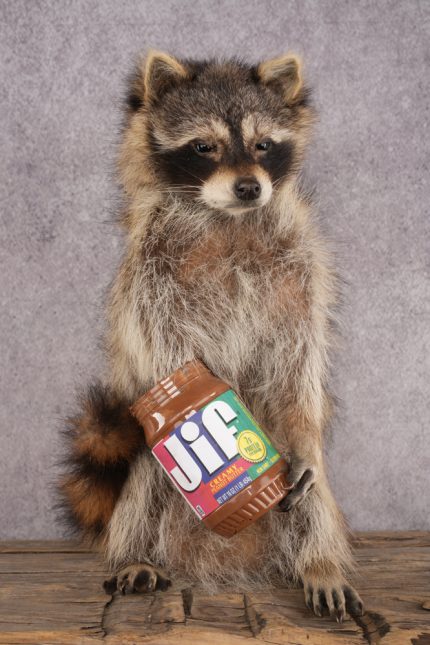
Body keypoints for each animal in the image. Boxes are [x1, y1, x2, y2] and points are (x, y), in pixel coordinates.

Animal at [59, 50, 364, 621]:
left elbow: (297, 366)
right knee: (144, 485)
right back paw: (135, 555)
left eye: (263, 144)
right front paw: (207, 422)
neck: (229, 217)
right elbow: (170, 354)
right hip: (143, 460)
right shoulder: (152, 274)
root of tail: (223, 563)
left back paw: (319, 562)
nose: (249, 187)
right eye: (205, 146)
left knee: (314, 498)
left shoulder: (300, 270)